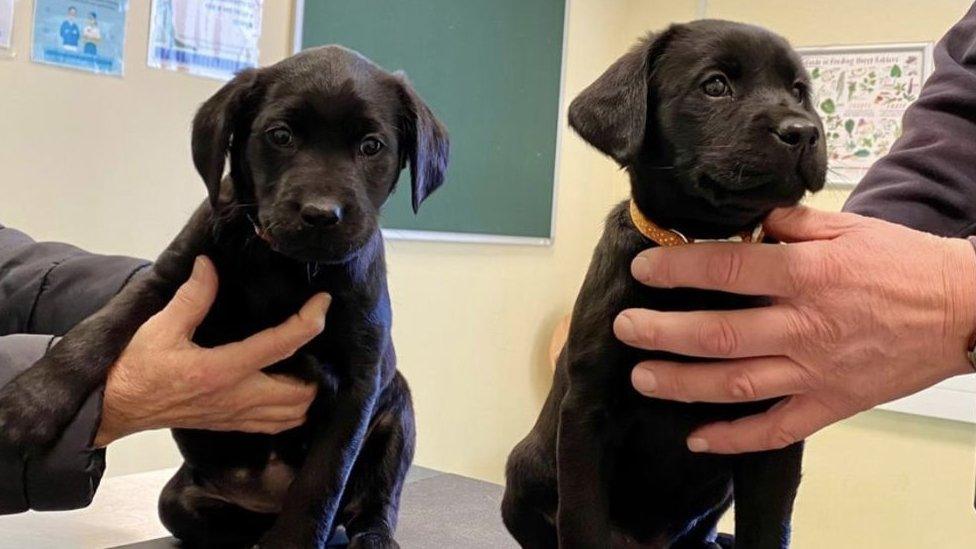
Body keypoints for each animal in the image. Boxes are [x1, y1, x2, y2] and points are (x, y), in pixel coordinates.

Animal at [504, 19, 824, 544]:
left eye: (799, 91)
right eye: (715, 85)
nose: (804, 131)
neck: (703, 244)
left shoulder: (772, 429)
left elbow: (769, 526)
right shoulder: (587, 414)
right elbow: (583, 523)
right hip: (523, 467)